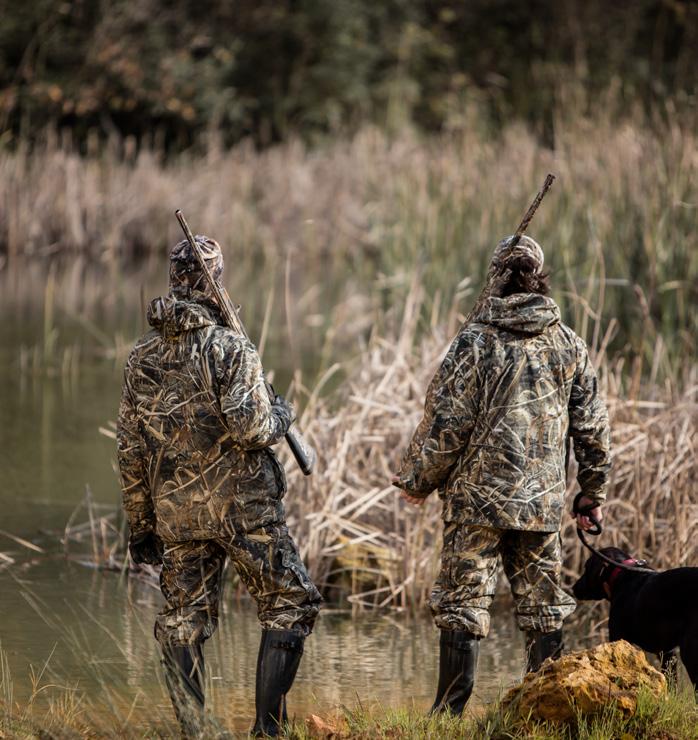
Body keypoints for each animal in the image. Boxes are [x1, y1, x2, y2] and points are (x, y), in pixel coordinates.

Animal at [572, 544, 696, 688]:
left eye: (586, 567)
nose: (574, 588)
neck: (621, 574)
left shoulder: (617, 637)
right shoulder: (667, 652)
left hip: (689, 650)